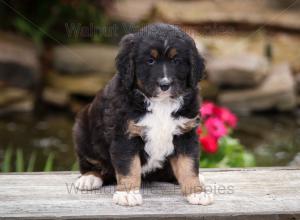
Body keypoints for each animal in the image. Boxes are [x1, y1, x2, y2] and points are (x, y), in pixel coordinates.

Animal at [72, 23, 213, 206]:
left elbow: (188, 166)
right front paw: (127, 193)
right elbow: (129, 167)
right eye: (150, 61)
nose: (165, 84)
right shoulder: (125, 136)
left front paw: (196, 192)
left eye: (176, 61)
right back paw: (89, 178)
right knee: (91, 163)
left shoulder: (185, 134)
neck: (161, 104)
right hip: (83, 133)